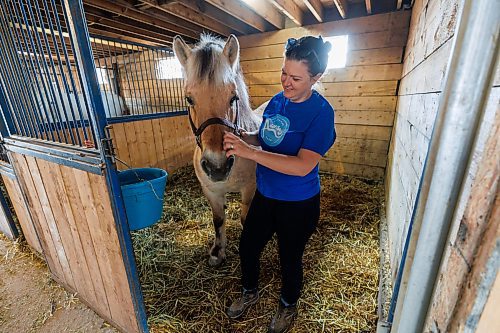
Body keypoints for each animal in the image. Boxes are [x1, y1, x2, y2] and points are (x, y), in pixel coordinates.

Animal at [174, 35, 262, 266]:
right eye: (189, 99)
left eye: (233, 97)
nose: (217, 167)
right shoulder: (211, 191)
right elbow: (218, 219)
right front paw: (217, 252)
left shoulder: (249, 188)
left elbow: (245, 218)